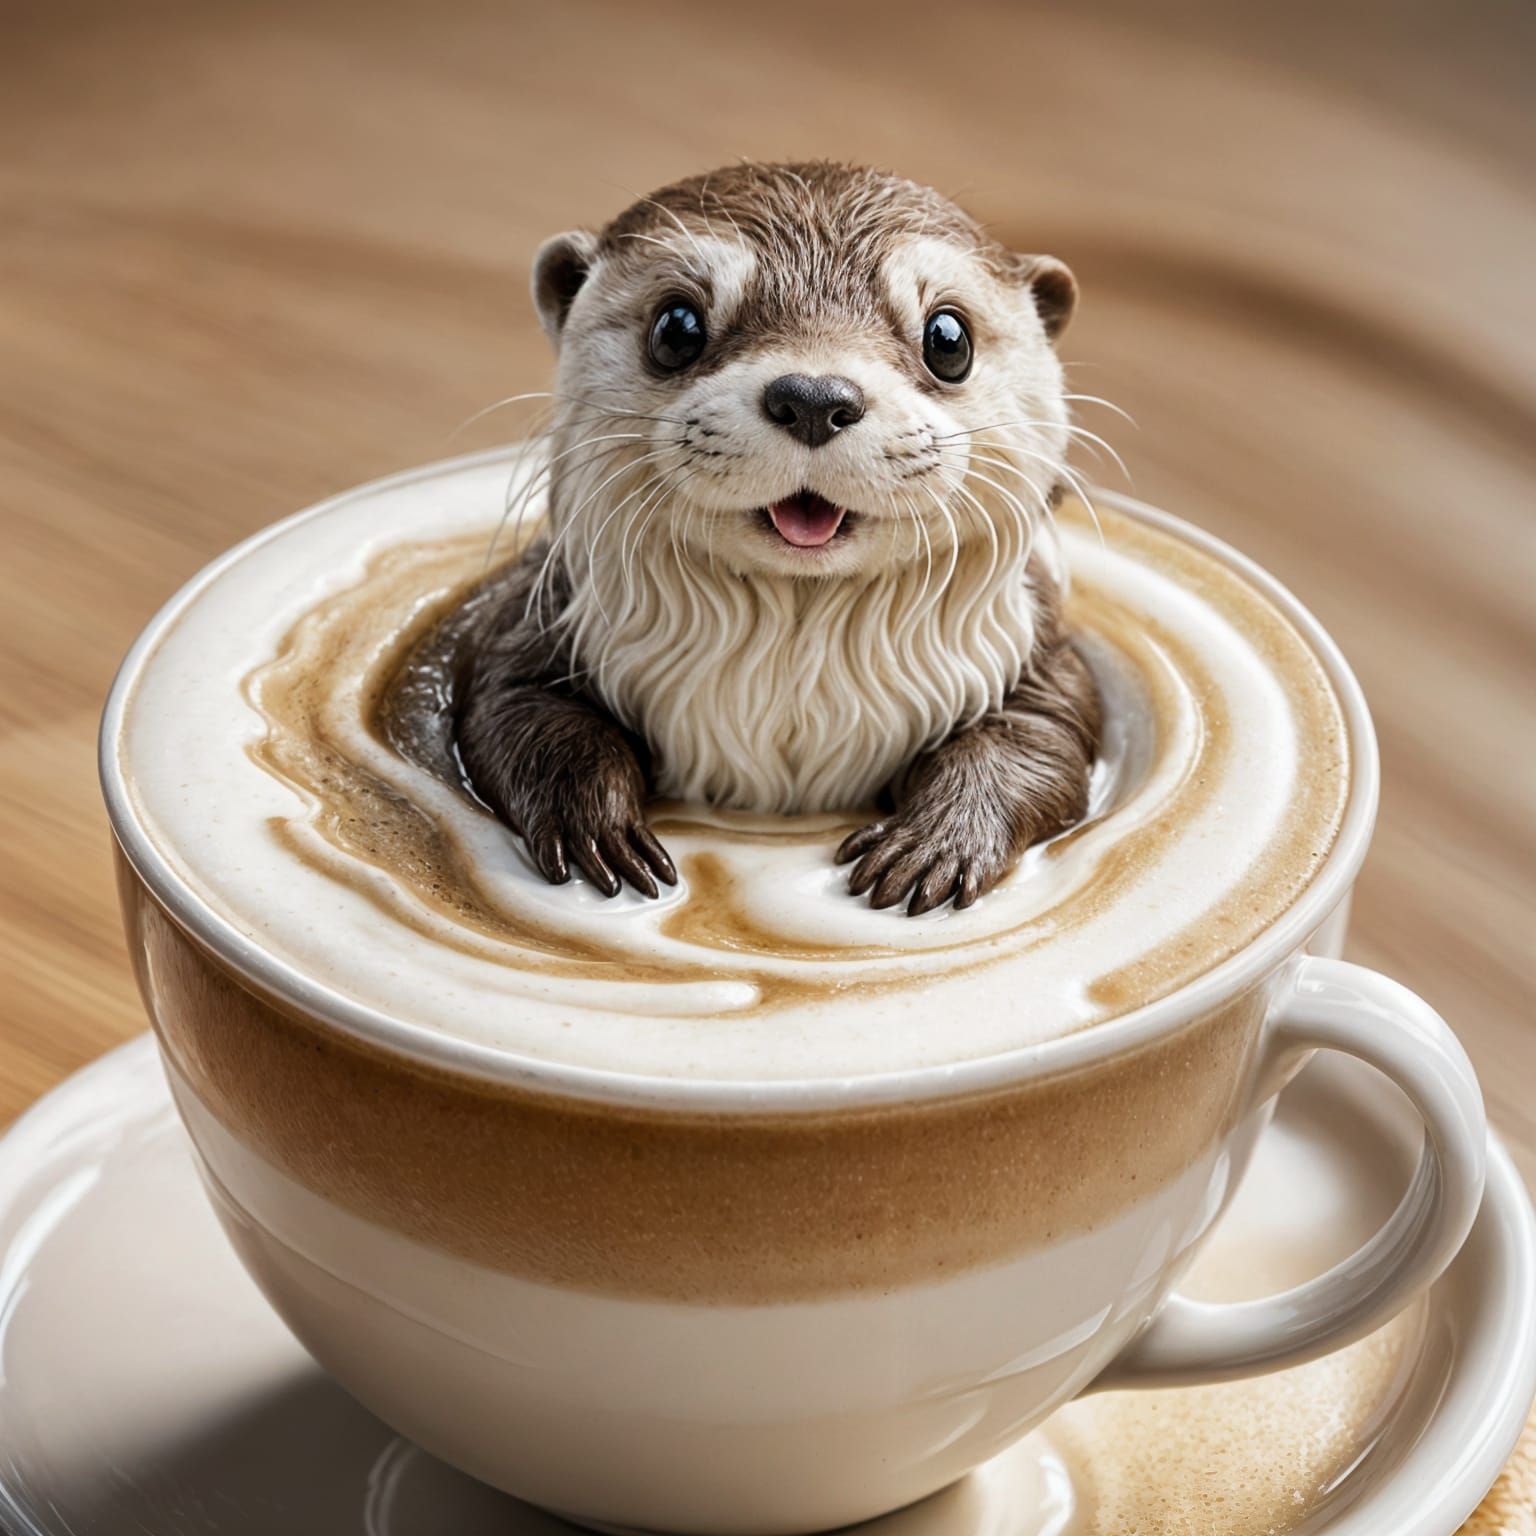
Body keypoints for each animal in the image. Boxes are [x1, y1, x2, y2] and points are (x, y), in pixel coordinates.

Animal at [456, 162, 1101, 916]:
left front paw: (938, 843)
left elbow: (1038, 740)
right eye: (676, 327)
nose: (815, 398)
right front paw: (595, 827)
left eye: (949, 339)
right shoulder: (531, 617)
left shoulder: (1042, 656)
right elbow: (516, 708)